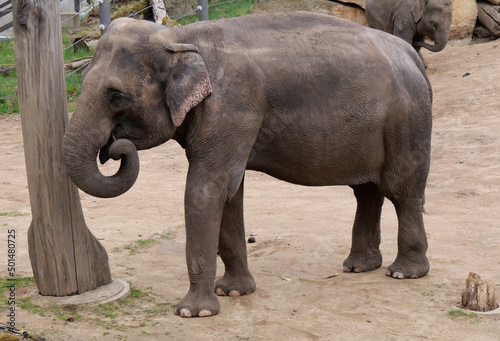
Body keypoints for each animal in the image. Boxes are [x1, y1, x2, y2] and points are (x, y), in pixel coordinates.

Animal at [63, 11, 434, 318]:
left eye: (116, 96)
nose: (113, 148)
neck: (180, 36)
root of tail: (412, 55)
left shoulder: (233, 106)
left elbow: (205, 190)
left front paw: (194, 312)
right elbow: (230, 192)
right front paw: (233, 292)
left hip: (407, 120)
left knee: (401, 189)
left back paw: (404, 272)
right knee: (367, 191)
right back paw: (359, 267)